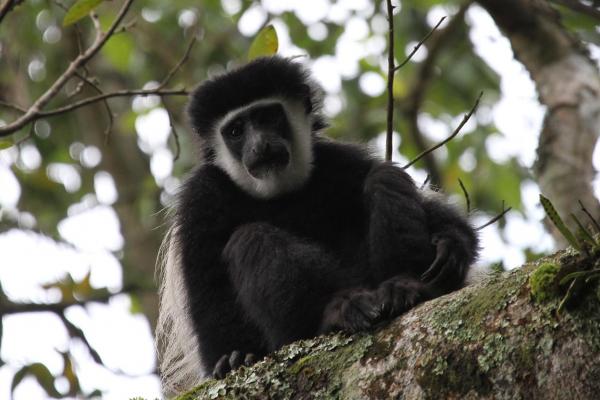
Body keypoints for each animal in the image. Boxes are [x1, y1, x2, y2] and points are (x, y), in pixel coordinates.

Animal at [155, 55, 478, 394]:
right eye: (235, 131)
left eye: (268, 116)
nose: (260, 145)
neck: (279, 195)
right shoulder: (200, 199)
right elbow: (206, 287)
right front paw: (234, 357)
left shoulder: (339, 159)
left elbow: (428, 207)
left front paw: (451, 244)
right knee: (250, 239)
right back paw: (338, 311)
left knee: (385, 178)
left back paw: (405, 288)